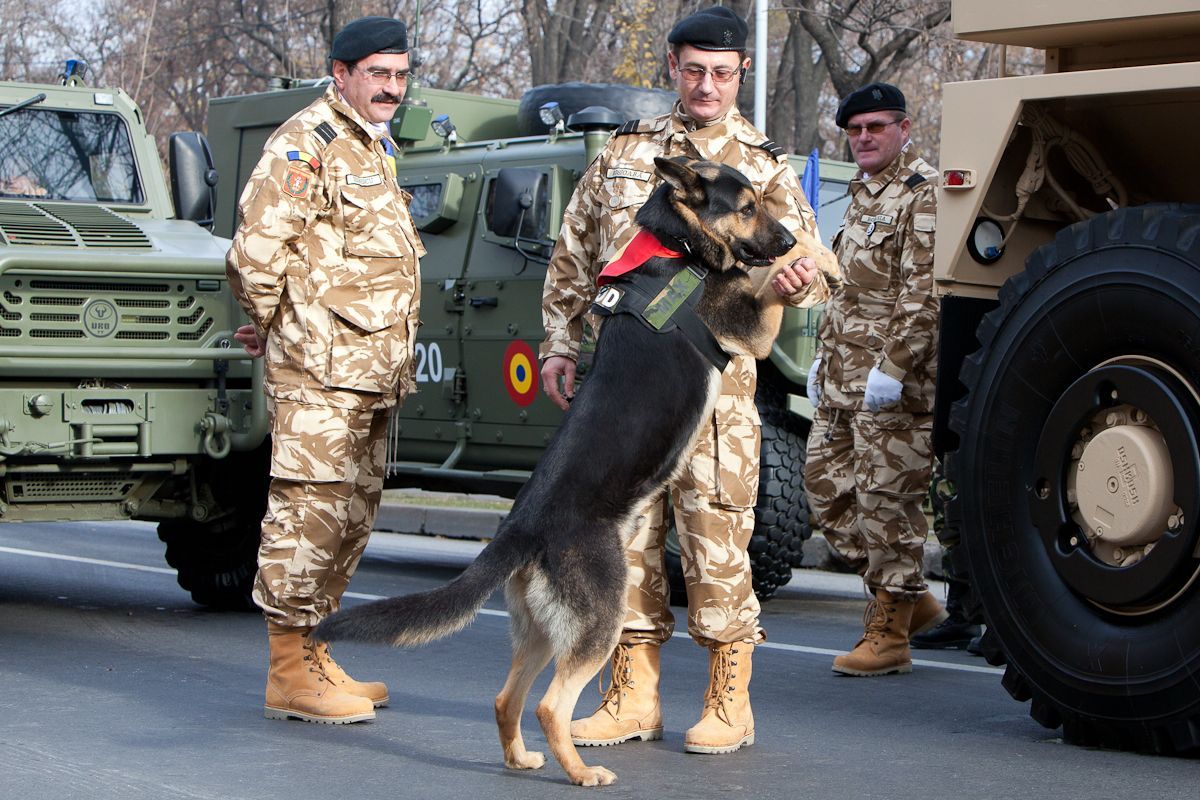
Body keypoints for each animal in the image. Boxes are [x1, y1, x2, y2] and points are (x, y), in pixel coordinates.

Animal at [319, 158, 806, 786]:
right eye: (746, 208)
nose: (789, 237)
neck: (676, 245)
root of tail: (521, 529)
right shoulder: (751, 325)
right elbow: (765, 284)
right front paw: (809, 261)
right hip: (599, 621)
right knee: (550, 706)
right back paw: (580, 772)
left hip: (543, 631)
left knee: (507, 699)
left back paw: (522, 759)